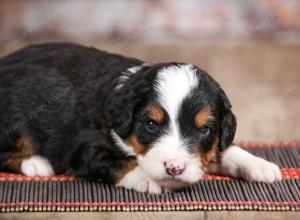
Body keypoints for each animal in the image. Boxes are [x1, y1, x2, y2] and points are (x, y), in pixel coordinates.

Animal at [0, 42, 282, 192]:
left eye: (204, 130)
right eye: (151, 125)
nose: (174, 168)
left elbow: (224, 150)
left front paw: (259, 165)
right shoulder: (85, 147)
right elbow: (120, 162)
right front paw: (149, 179)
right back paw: (36, 163)